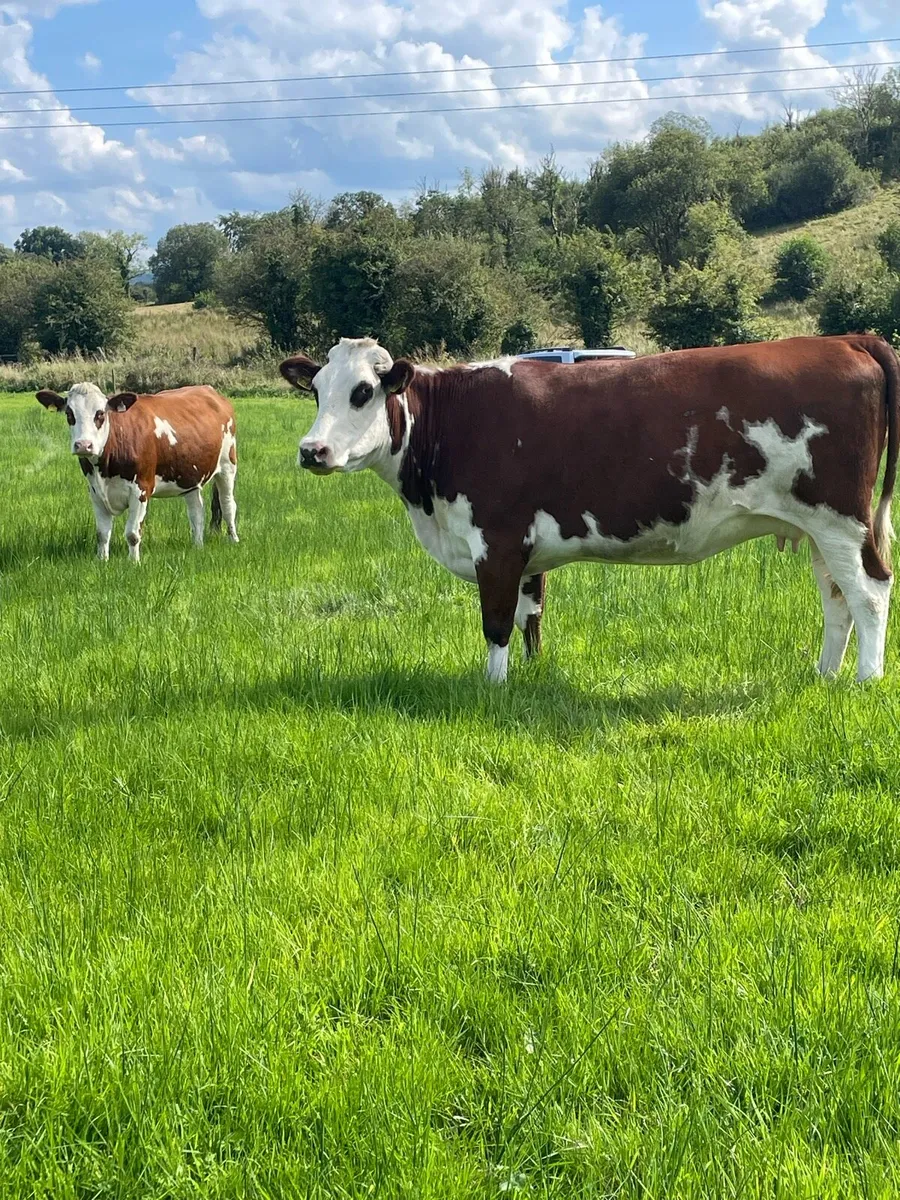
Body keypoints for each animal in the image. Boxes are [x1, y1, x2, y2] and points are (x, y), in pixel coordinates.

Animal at [36, 383, 238, 562]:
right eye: (69, 414)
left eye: (100, 413)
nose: (84, 445)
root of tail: (210, 390)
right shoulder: (95, 492)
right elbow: (102, 534)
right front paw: (102, 561)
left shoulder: (140, 489)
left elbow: (132, 534)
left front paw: (134, 563)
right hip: (189, 476)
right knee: (196, 512)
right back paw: (197, 546)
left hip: (228, 465)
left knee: (228, 505)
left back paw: (233, 540)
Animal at [279, 335, 899, 684]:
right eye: (316, 390)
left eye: (363, 391)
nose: (312, 451)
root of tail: (846, 339)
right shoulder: (526, 549)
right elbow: (531, 615)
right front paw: (531, 679)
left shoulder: (497, 540)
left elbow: (496, 622)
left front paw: (493, 688)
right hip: (816, 528)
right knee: (837, 598)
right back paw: (825, 675)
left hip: (841, 519)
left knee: (869, 591)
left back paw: (865, 681)